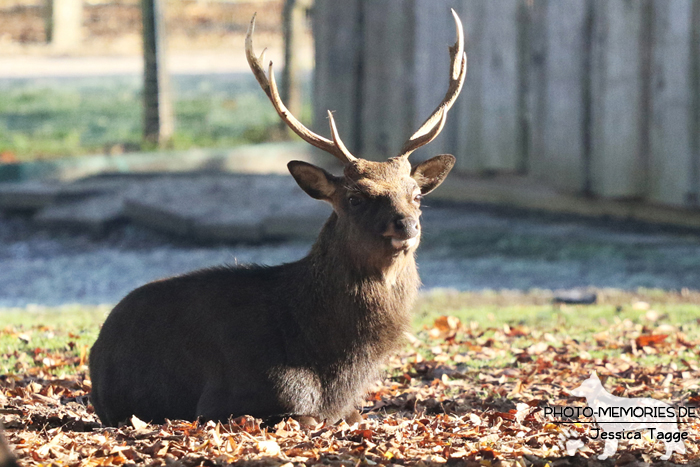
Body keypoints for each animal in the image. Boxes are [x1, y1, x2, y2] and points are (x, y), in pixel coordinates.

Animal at [89, 10, 470, 428]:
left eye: (416, 195)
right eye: (355, 198)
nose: (406, 225)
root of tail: (97, 346)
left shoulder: (350, 407)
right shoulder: (224, 399)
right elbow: (307, 417)